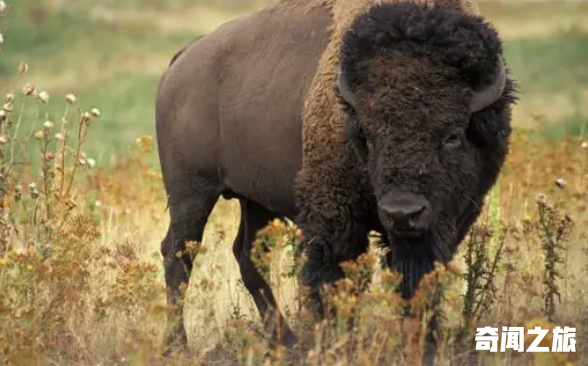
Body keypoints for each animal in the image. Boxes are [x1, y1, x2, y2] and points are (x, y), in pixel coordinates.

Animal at [155, 0, 516, 354]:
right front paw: (339, 343)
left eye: (453, 135)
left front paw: (424, 343)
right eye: (367, 136)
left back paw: (285, 343)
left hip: (254, 200)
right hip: (191, 191)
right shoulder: (335, 219)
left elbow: (417, 280)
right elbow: (334, 280)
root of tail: (183, 58)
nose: (402, 212)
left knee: (248, 255)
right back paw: (178, 347)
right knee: (178, 254)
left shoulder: (446, 222)